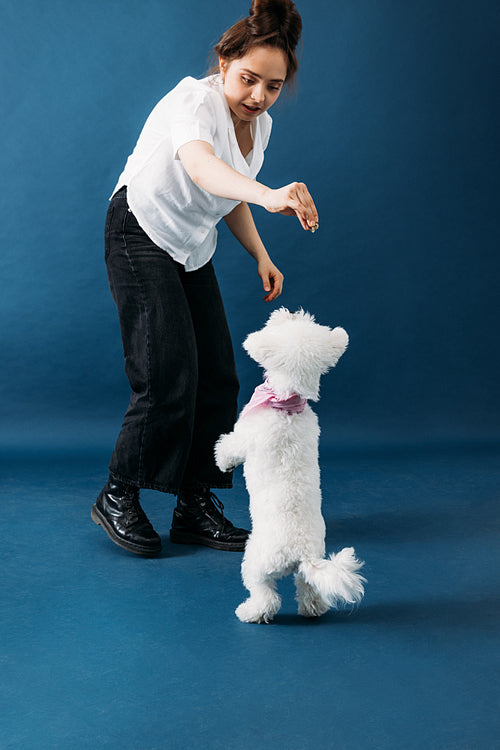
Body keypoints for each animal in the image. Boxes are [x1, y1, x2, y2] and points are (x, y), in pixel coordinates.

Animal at [213, 308, 366, 624]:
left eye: (292, 321)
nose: (288, 310)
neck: (286, 406)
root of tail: (301, 553)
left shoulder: (246, 436)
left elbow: (231, 446)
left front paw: (220, 458)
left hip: (255, 563)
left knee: (266, 596)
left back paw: (250, 611)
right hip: (306, 576)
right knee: (309, 590)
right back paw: (313, 610)